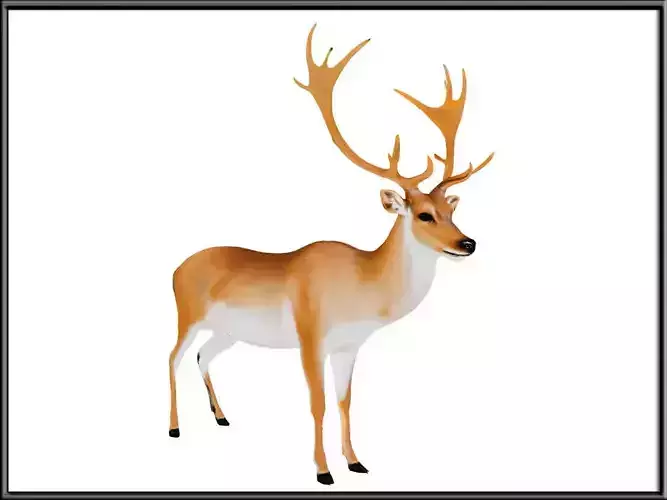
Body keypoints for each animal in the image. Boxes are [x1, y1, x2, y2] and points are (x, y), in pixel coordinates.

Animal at [168, 23, 494, 486]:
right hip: (188, 313)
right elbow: (317, 403)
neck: (362, 284)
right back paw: (175, 428)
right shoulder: (310, 335)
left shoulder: (348, 346)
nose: (468, 243)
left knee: (201, 356)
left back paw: (222, 417)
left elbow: (345, 402)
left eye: (452, 211)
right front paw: (323, 472)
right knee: (172, 357)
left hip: (227, 330)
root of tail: (175, 268)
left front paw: (357, 462)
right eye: (425, 215)